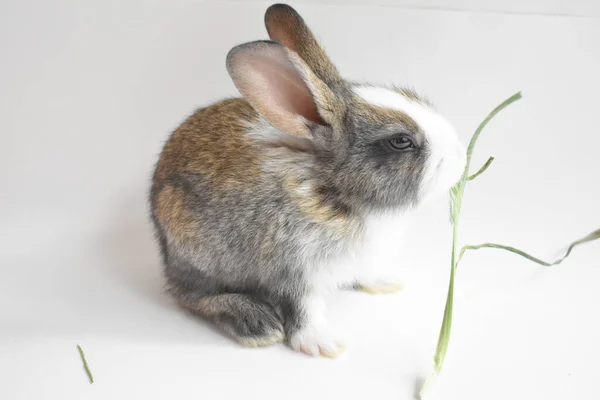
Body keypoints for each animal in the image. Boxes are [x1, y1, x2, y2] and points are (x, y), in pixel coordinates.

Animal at [149, 3, 464, 358]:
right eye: (401, 141)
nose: (460, 155)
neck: (337, 189)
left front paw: (385, 283)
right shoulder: (294, 269)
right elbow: (303, 309)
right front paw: (323, 344)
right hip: (196, 254)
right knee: (190, 296)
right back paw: (255, 322)